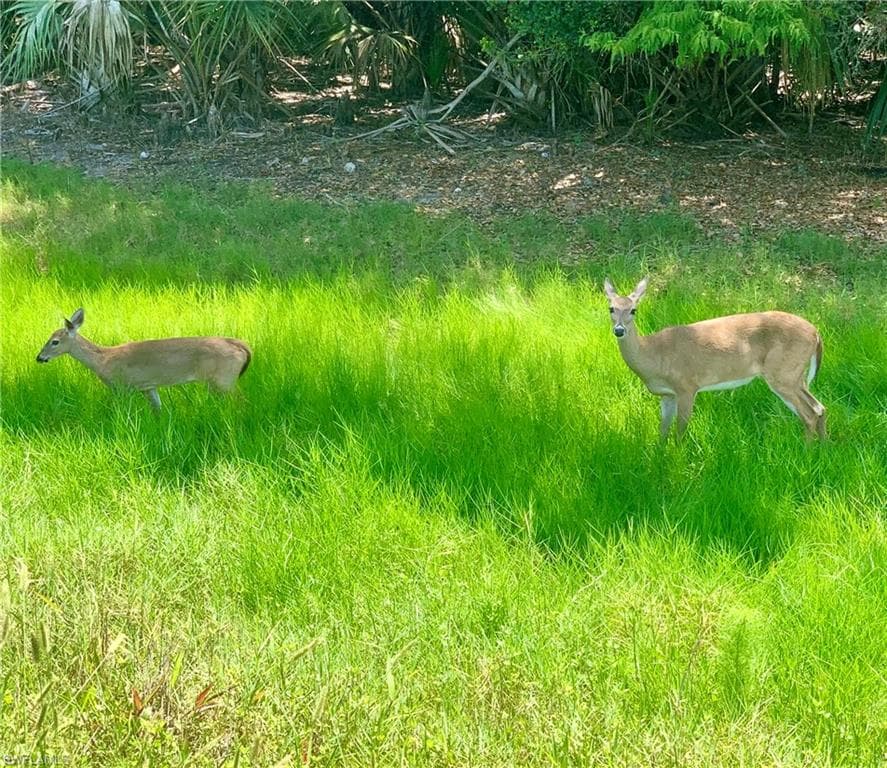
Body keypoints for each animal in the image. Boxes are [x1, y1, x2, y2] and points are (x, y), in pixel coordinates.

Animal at [35, 308, 252, 411]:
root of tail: (242, 347)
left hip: (223, 379)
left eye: (54, 341)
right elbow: (158, 409)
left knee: (241, 401)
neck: (102, 360)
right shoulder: (148, 387)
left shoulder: (121, 386)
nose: (39, 357)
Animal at [603, 277, 826, 442]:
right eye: (611, 308)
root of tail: (816, 333)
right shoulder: (667, 394)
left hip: (783, 373)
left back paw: (807, 452)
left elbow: (680, 433)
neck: (653, 355)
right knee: (820, 408)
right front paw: (659, 460)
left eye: (633, 310)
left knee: (809, 414)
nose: (619, 330)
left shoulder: (686, 386)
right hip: (796, 375)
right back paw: (823, 448)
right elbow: (663, 432)